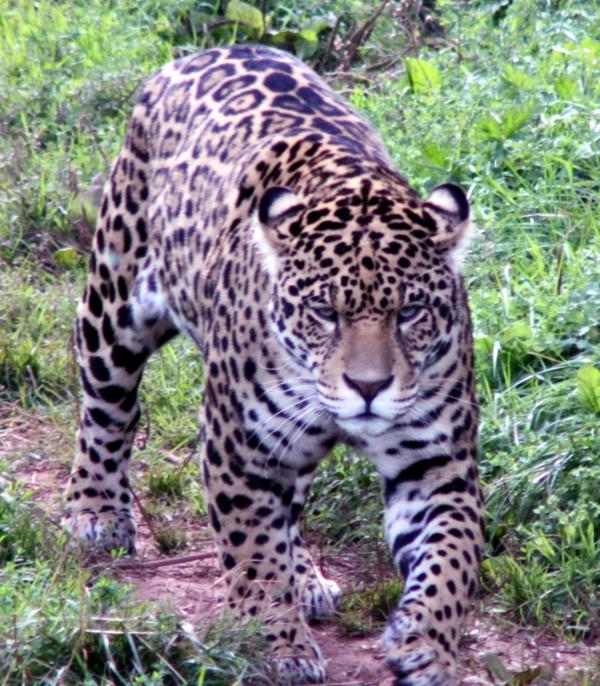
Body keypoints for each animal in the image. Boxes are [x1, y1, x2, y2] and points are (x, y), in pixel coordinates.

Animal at [64, 44, 485, 686]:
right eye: (324, 312)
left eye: (411, 312)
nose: (368, 387)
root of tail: (211, 50)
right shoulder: (239, 447)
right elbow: (253, 556)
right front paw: (278, 645)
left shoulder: (437, 463)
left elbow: (452, 555)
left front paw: (427, 642)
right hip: (113, 299)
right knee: (106, 410)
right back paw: (96, 511)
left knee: (290, 506)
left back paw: (306, 578)